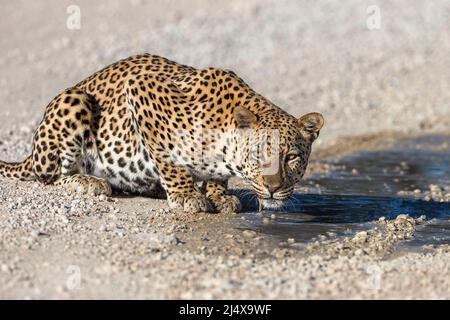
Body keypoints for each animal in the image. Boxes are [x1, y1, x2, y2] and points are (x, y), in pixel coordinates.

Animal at [0, 53, 324, 214]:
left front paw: (218, 195)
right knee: (48, 177)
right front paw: (186, 195)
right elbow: (167, 158)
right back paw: (87, 181)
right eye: (259, 154)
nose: (273, 188)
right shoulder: (141, 88)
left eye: (291, 157)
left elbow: (216, 178)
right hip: (73, 101)